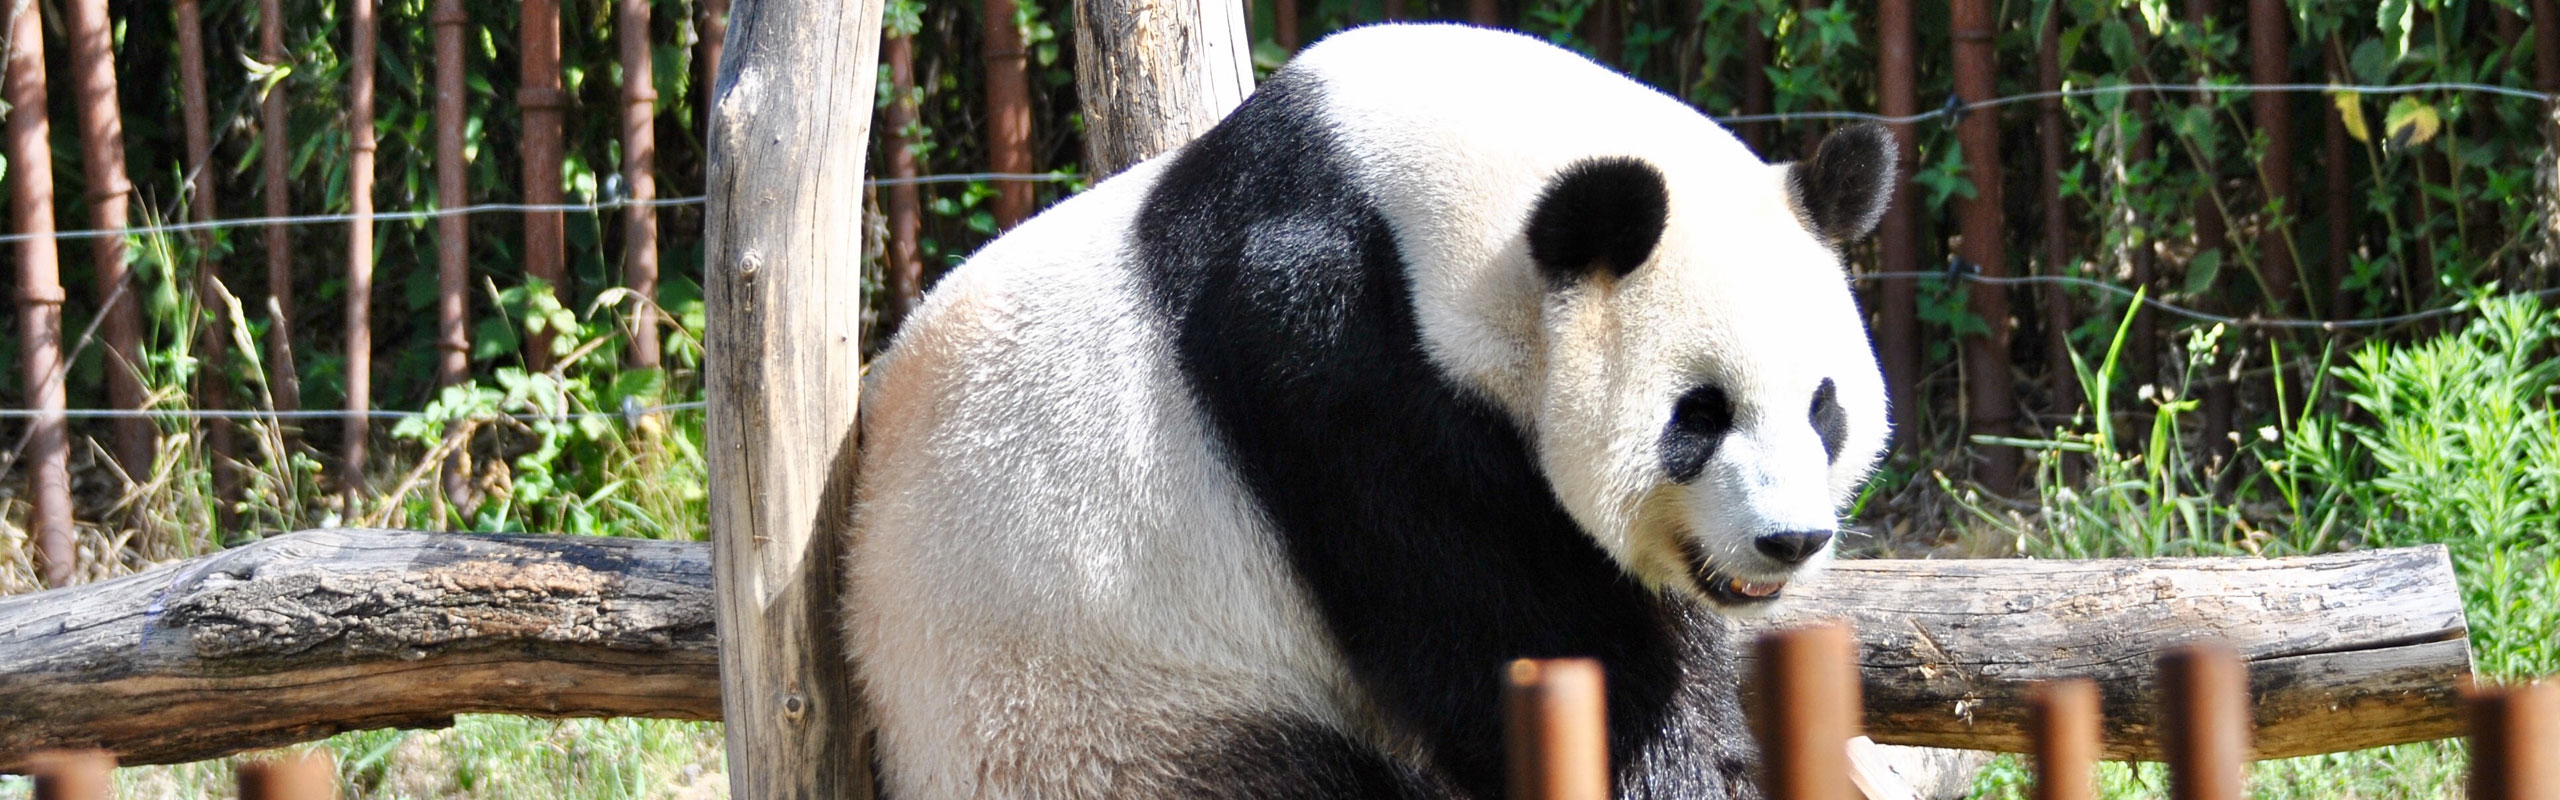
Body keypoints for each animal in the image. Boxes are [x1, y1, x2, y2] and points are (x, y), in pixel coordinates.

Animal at [855, 21, 1904, 800]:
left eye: (1825, 410)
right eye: (1700, 415)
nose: (1789, 540)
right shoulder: (1336, 366)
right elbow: (1513, 639)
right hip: (1105, 716)